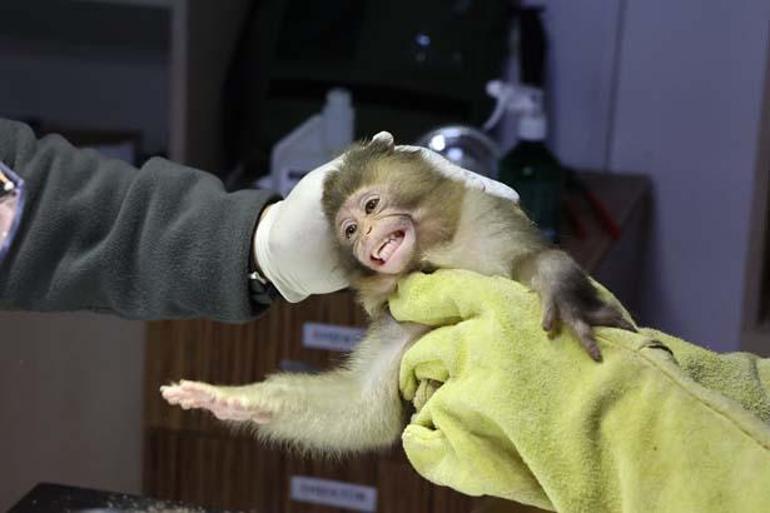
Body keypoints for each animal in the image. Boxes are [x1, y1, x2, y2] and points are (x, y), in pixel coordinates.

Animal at [164, 131, 632, 452]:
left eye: (371, 207)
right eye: (349, 231)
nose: (366, 236)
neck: (430, 257)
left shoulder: (489, 224)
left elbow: (535, 261)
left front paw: (567, 299)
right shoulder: (399, 316)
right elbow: (362, 409)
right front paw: (234, 400)